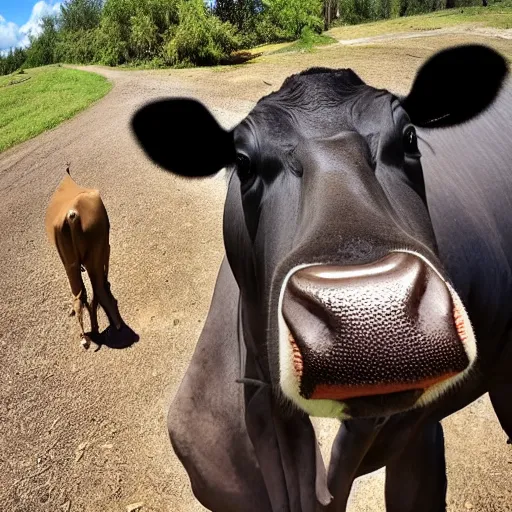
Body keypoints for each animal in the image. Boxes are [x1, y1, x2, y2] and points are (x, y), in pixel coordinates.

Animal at [45, 168, 123, 348]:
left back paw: (86, 334)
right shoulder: (106, 246)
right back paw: (114, 323)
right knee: (97, 290)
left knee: (80, 296)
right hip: (95, 253)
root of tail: (72, 216)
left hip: (70, 264)